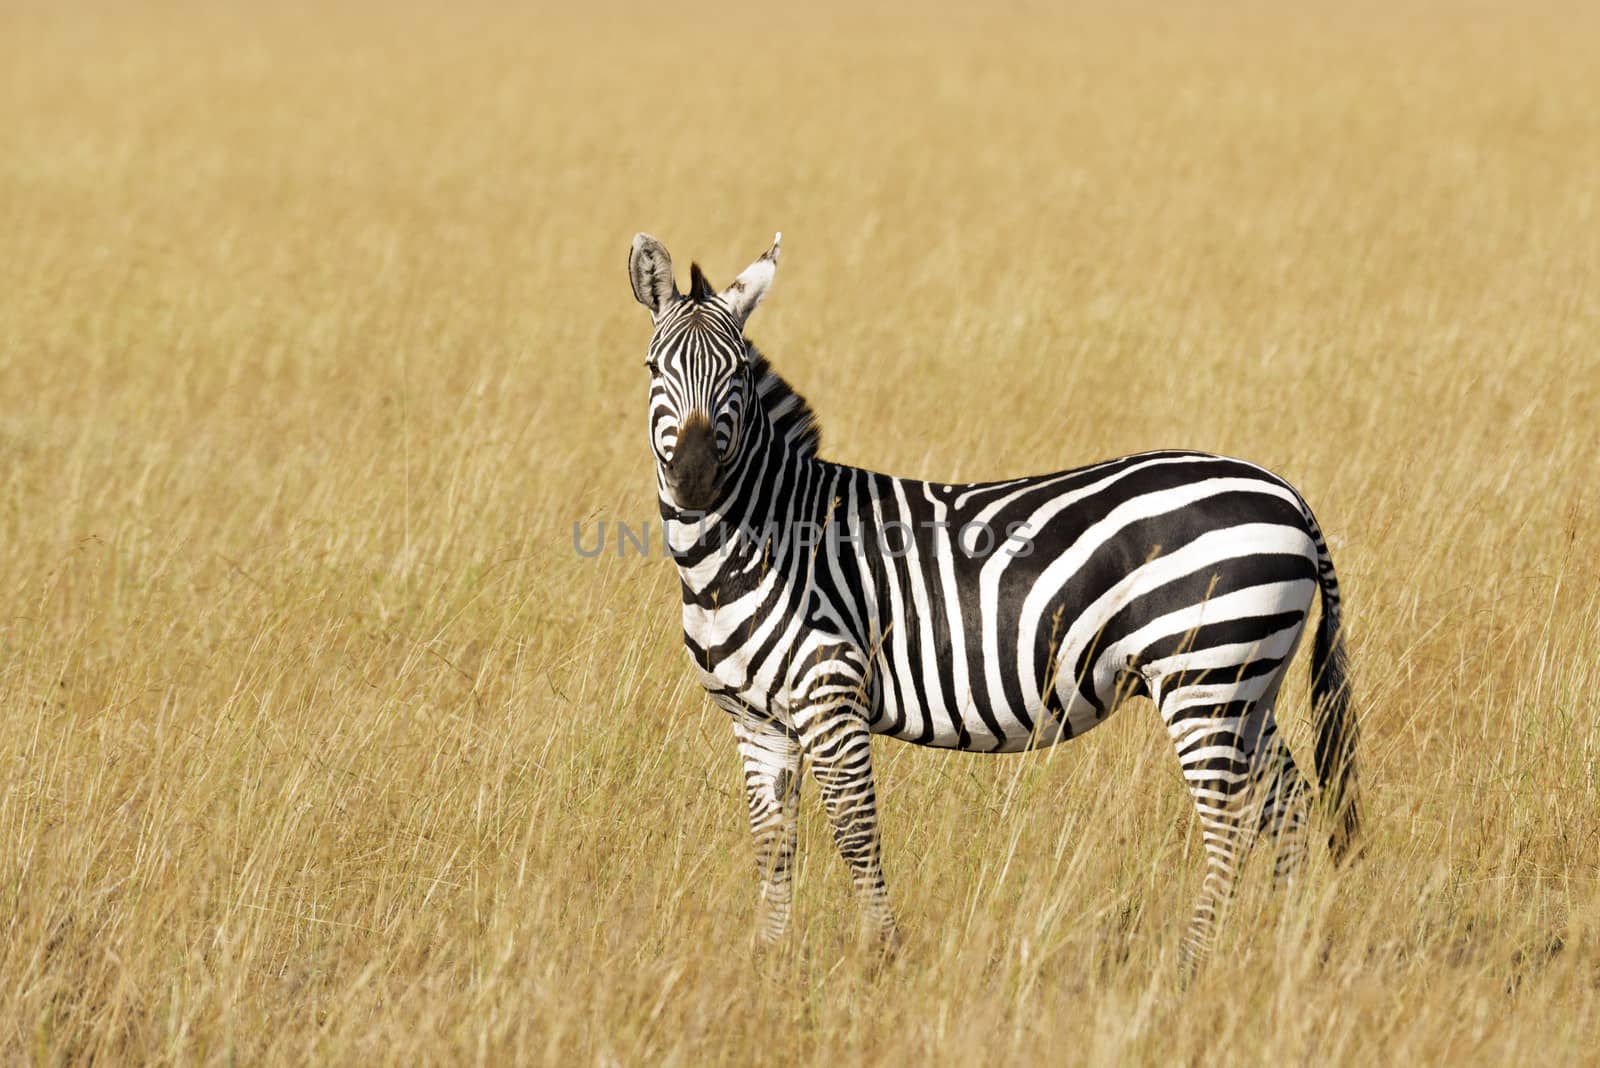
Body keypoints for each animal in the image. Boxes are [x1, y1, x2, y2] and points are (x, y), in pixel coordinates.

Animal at [624, 230, 1363, 972]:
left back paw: (1190, 967)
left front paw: (882, 957)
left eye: (738, 379)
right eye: (654, 368)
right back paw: (1292, 953)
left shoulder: (831, 699)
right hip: (1246, 684)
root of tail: (1287, 494)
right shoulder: (757, 722)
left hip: (1204, 677)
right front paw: (771, 963)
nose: (694, 479)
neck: (755, 543)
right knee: (1289, 806)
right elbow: (774, 846)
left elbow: (857, 834)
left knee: (1229, 824)